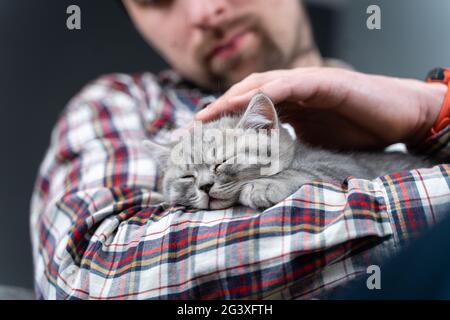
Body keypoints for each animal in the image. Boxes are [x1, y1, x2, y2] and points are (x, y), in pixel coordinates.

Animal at [144, 92, 432, 210]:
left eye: (222, 162)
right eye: (187, 177)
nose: (204, 186)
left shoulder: (346, 166)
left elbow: (303, 172)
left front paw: (264, 186)